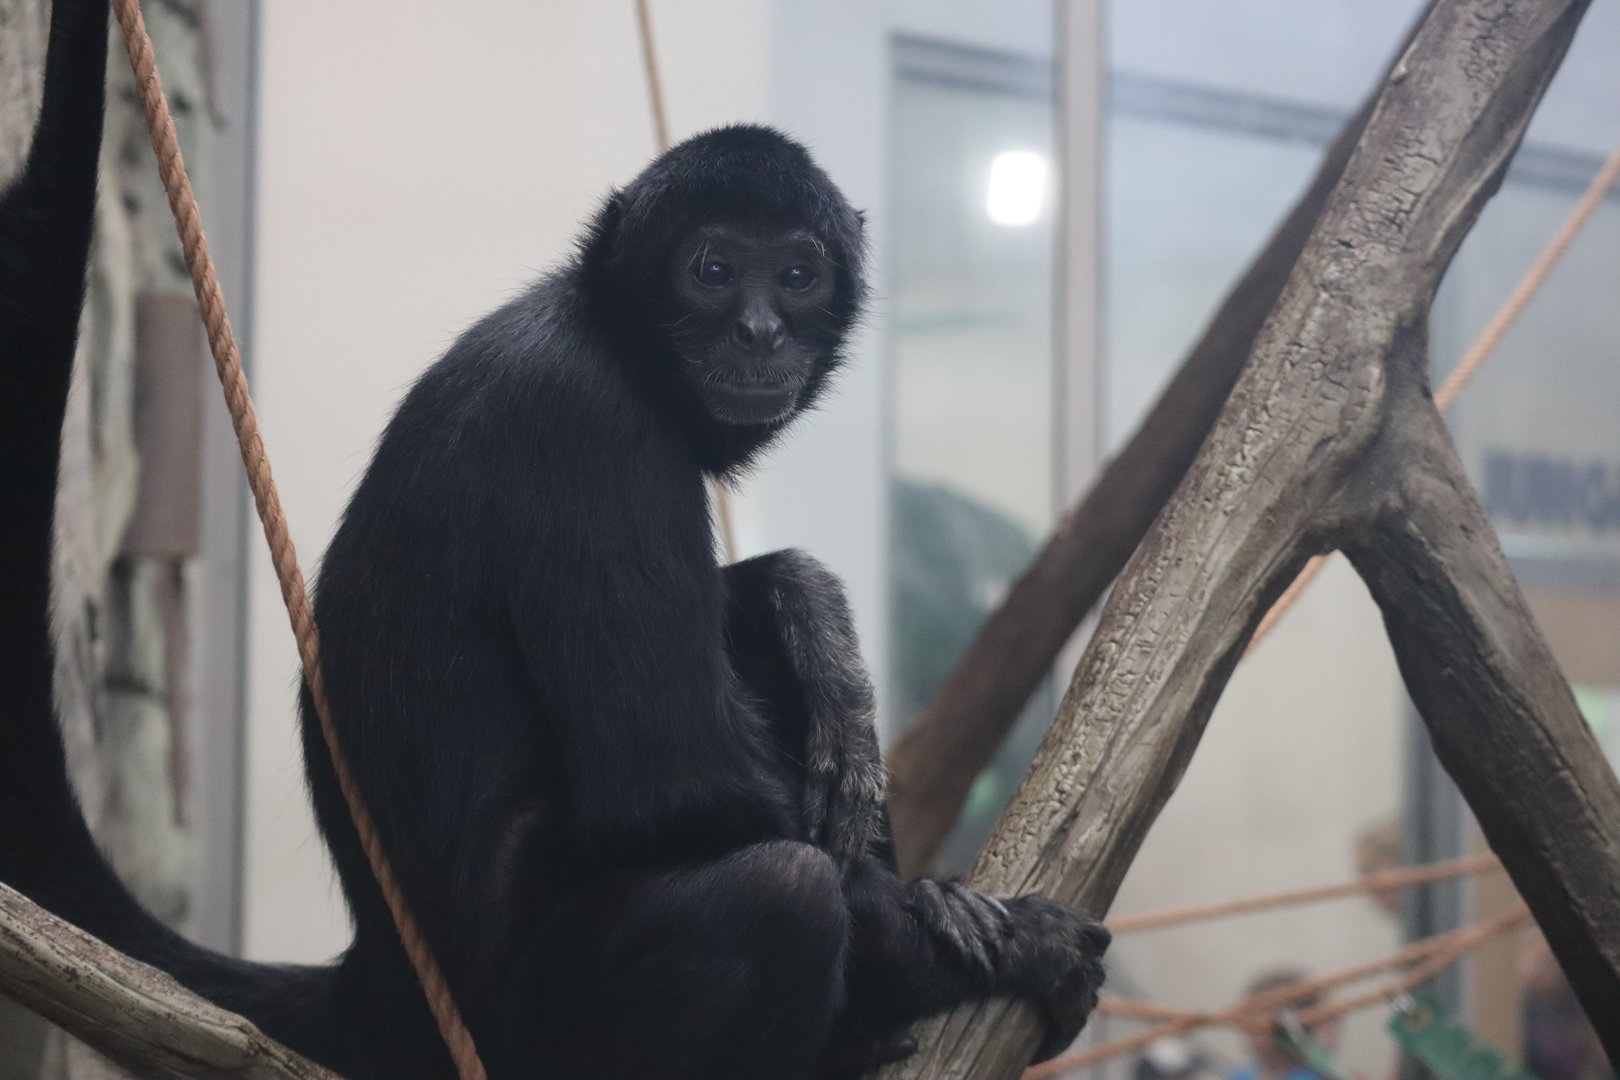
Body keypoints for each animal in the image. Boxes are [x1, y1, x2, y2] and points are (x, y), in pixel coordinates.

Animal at [0, 3, 1108, 1076]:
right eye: (713, 270)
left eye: (797, 274)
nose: (760, 330)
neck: (603, 326)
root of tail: (381, 985)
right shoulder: (593, 427)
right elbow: (680, 782)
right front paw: (985, 931)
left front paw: (812, 612)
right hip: (533, 1019)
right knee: (781, 892)